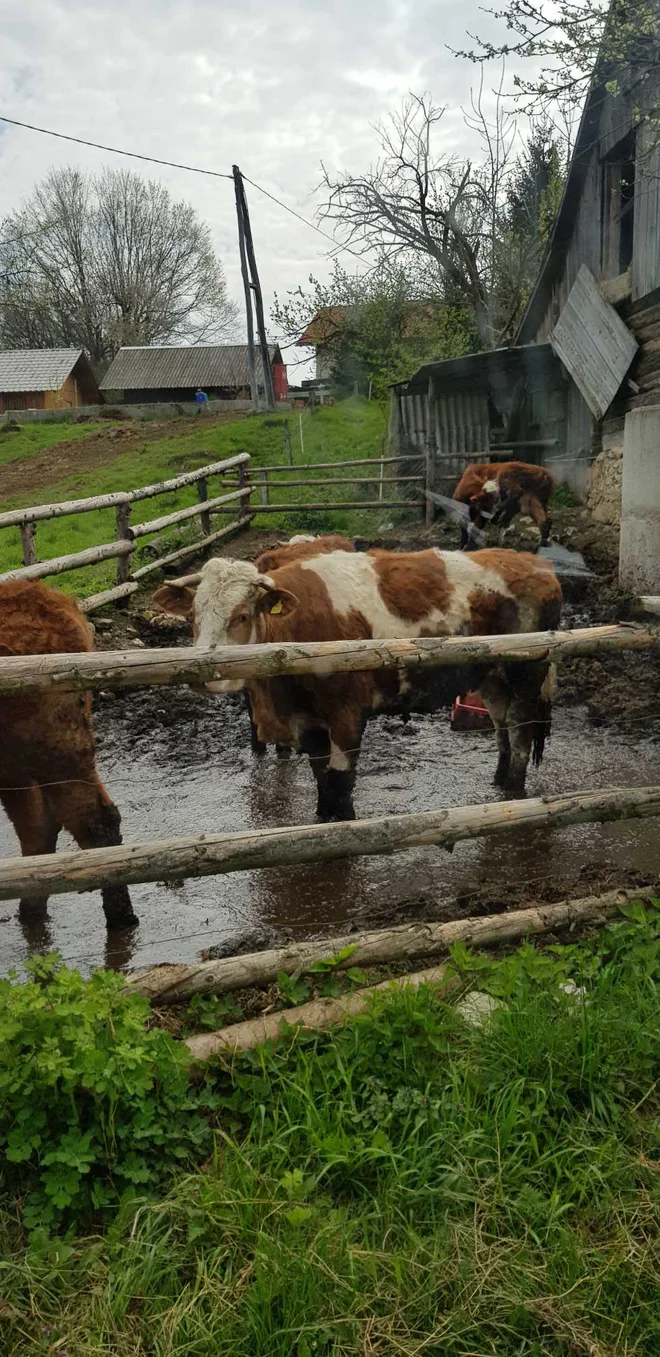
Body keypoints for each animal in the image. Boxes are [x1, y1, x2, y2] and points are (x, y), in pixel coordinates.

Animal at [154, 545, 562, 819]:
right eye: (193, 615)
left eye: (241, 616)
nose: (201, 673)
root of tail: (538, 566)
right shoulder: (307, 721)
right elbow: (321, 779)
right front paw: (323, 818)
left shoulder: (348, 715)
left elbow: (341, 782)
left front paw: (345, 825)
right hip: (491, 677)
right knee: (501, 727)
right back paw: (498, 780)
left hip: (525, 677)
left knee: (521, 732)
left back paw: (514, 789)